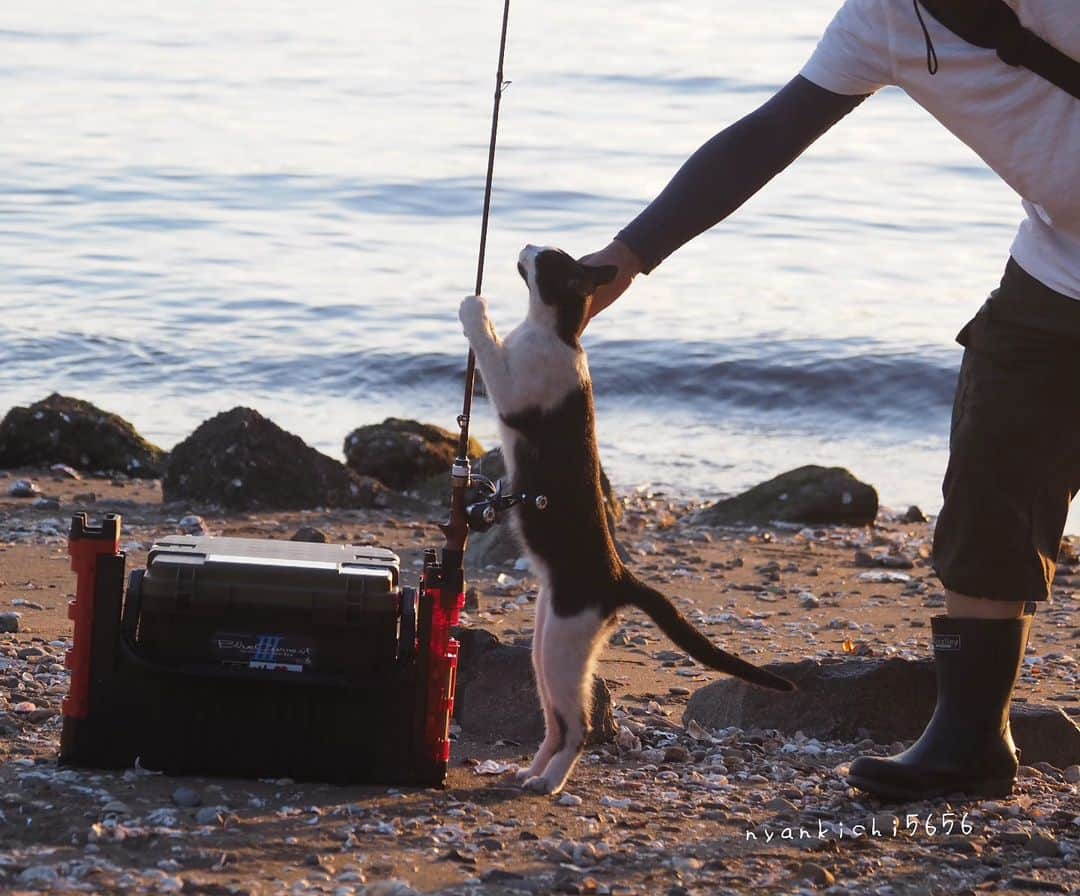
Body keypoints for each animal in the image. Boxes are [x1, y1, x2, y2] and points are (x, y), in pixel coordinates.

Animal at [455, 241, 794, 794]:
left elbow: (488, 344)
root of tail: (618, 575)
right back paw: (532, 772)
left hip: (563, 646)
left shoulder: (512, 391)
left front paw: (474, 307)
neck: (556, 332)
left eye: (545, 259)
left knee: (579, 728)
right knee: (556, 723)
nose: (525, 244)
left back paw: (552, 782)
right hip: (545, 643)